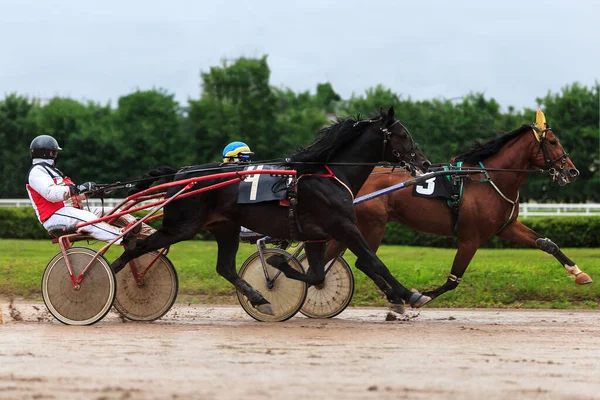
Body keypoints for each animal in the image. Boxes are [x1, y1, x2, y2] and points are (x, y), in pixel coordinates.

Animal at [111, 108, 432, 314]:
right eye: (402, 134)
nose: (425, 163)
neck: (327, 174)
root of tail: (180, 174)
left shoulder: (317, 235)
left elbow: (317, 275)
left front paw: (280, 266)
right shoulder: (344, 226)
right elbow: (374, 262)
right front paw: (410, 294)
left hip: (224, 227)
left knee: (224, 267)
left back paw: (258, 299)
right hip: (181, 226)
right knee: (136, 246)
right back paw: (113, 275)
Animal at [324, 109, 592, 306]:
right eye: (554, 141)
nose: (573, 171)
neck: (490, 179)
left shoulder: (506, 227)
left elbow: (547, 244)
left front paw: (579, 273)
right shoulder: (470, 238)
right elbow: (454, 280)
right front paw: (422, 296)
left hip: (354, 227)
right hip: (372, 225)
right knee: (362, 261)